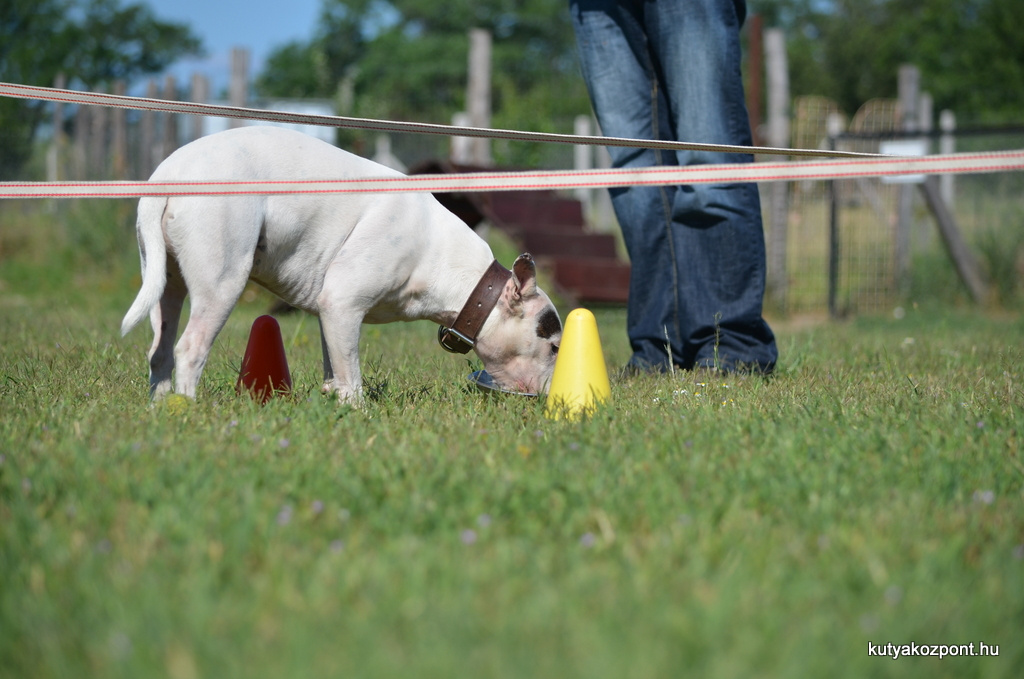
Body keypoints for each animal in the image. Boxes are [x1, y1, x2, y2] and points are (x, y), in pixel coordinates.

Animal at [124, 126, 569, 401]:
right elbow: (351, 376)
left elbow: (335, 364)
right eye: (553, 347)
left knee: (159, 351)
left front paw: (331, 397)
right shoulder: (342, 301)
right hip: (222, 284)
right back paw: (189, 410)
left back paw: (162, 408)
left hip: (168, 285)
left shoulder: (333, 313)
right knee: (189, 349)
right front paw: (356, 409)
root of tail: (169, 175)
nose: (550, 397)